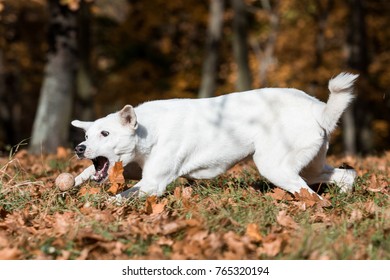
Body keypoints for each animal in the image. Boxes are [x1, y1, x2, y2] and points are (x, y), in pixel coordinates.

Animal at [71, 73, 358, 198]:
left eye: (105, 133)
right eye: (86, 135)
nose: (79, 148)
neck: (148, 130)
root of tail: (317, 109)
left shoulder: (153, 182)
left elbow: (120, 197)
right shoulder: (135, 169)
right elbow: (87, 173)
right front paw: (71, 182)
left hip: (273, 166)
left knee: (311, 194)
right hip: (308, 167)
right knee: (346, 174)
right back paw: (345, 195)